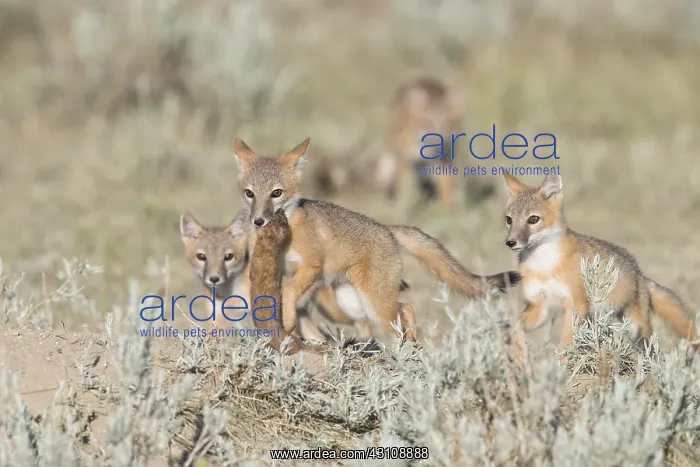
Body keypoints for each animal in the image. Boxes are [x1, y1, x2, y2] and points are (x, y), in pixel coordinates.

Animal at [231, 136, 522, 343]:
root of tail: (386, 228)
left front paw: (289, 322)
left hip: (374, 303)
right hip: (352, 302)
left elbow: (291, 292)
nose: (258, 221)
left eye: (276, 193)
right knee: (403, 309)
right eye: (249, 193)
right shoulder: (279, 270)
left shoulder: (312, 266)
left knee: (404, 310)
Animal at [387, 76, 495, 212]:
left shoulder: (444, 162)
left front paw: (445, 210)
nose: (438, 142)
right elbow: (403, 189)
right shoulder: (404, 159)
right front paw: (402, 207)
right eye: (426, 124)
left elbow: (446, 190)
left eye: (447, 124)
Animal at [501, 172, 699, 351]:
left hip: (636, 330)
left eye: (533, 219)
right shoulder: (540, 308)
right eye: (509, 220)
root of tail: (640, 274)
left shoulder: (576, 304)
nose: (510, 242)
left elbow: (566, 344)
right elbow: (516, 325)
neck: (544, 266)